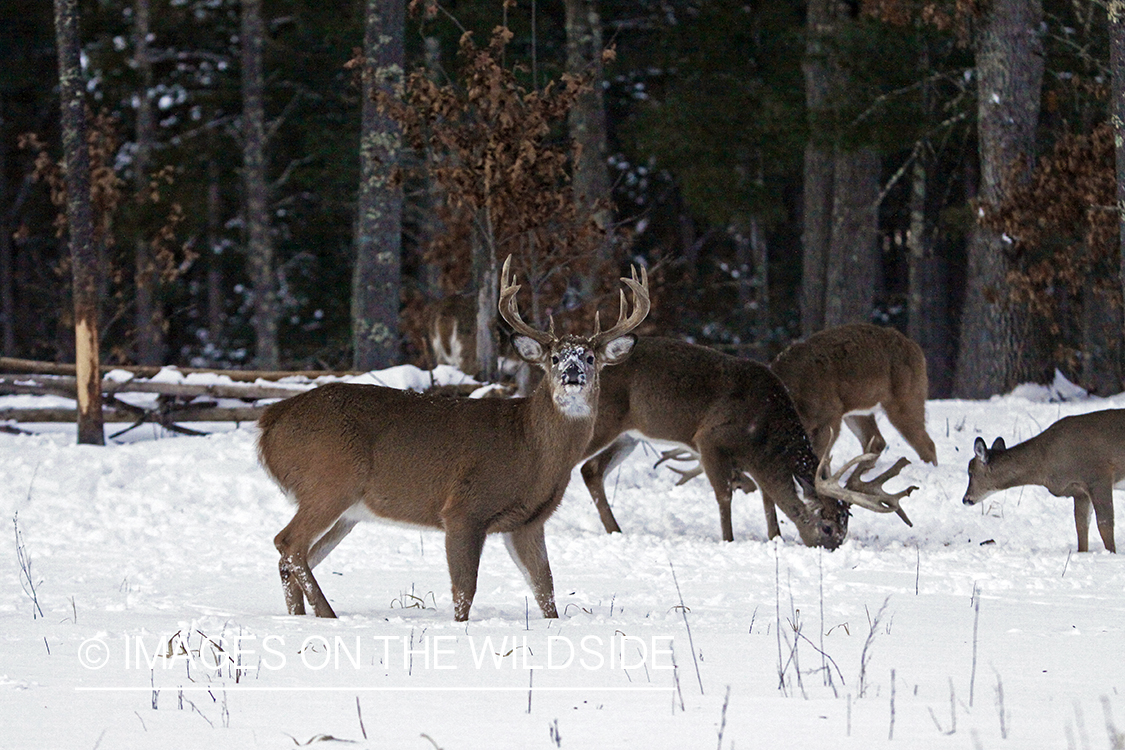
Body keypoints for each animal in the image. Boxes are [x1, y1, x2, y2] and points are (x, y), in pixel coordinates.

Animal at [257, 258, 648, 620]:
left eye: (590, 357)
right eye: (553, 358)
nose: (572, 372)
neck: (530, 445)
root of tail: (270, 422)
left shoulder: (528, 522)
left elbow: (545, 591)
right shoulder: (464, 509)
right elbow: (465, 592)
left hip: (346, 509)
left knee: (295, 557)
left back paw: (302, 617)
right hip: (329, 481)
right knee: (287, 543)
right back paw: (328, 615)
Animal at [580, 339, 913, 546]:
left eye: (846, 528)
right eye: (827, 526)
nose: (832, 548)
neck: (762, 431)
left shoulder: (757, 461)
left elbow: (767, 498)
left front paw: (775, 537)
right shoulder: (708, 439)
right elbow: (724, 495)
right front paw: (728, 539)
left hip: (628, 437)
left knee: (591, 470)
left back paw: (615, 530)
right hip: (601, 423)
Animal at [958, 411, 1125, 550]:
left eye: (970, 472)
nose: (965, 499)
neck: (1045, 462)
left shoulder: (1098, 476)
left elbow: (1104, 524)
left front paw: (1111, 553)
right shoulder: (1079, 491)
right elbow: (1081, 525)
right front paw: (1082, 552)